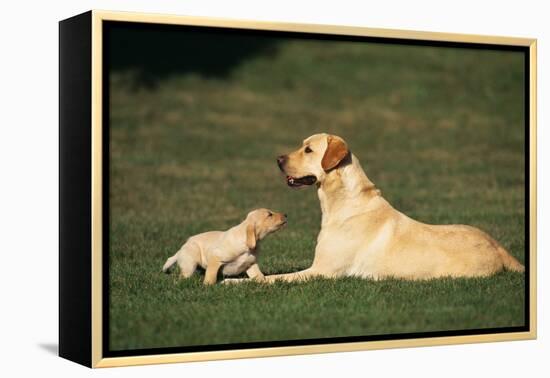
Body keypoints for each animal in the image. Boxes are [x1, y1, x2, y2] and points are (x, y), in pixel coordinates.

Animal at [227, 133, 528, 284]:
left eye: (309, 150)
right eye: (301, 147)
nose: (278, 160)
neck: (342, 202)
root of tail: (497, 246)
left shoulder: (322, 271)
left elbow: (270, 279)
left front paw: (234, 283)